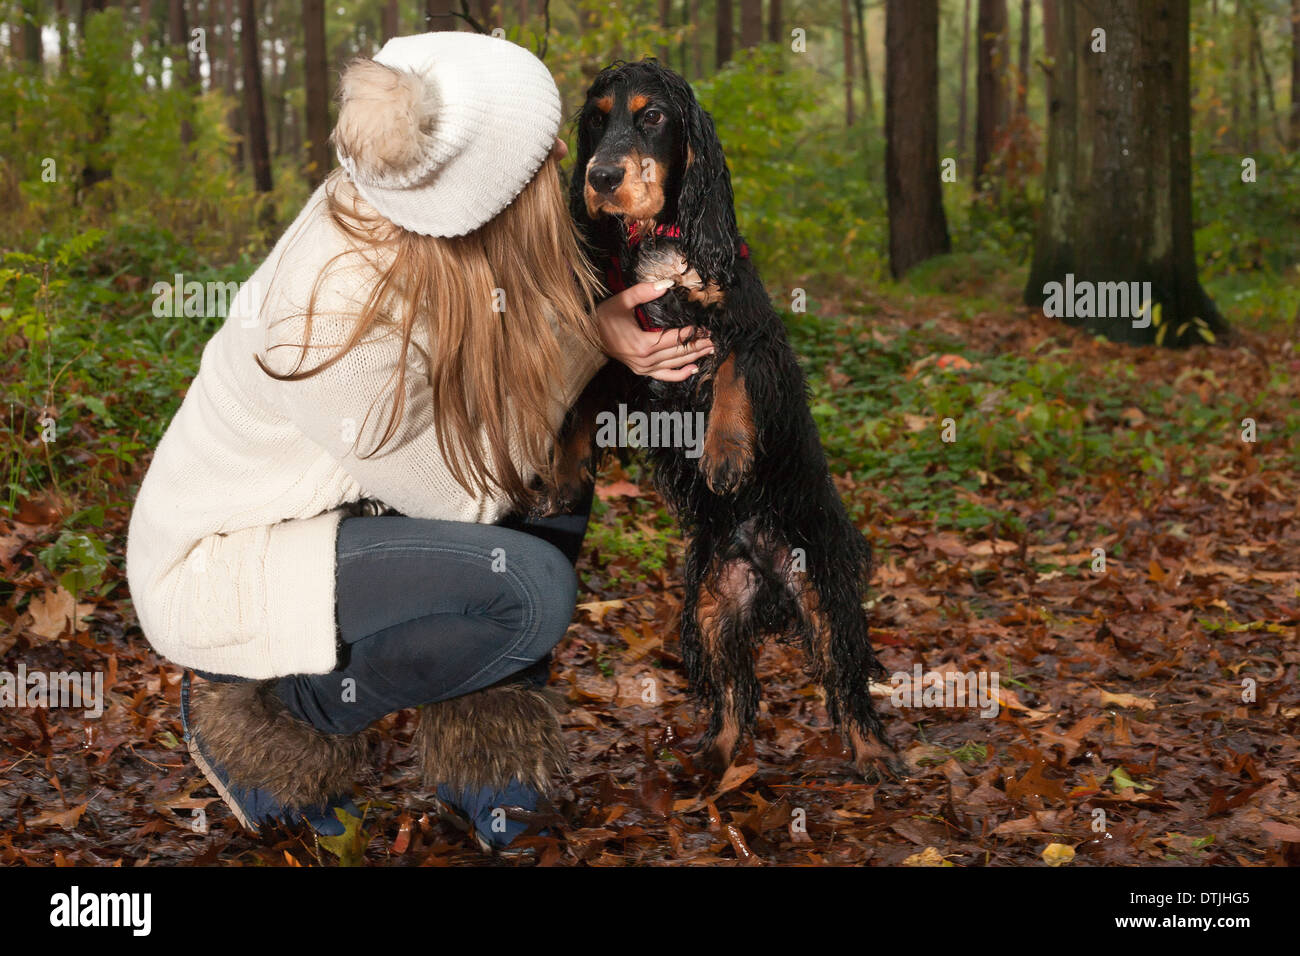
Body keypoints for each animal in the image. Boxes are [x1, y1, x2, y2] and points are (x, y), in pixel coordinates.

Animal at [540, 57, 894, 780]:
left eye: (651, 117)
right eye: (596, 121)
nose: (601, 178)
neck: (661, 247)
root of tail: (765, 571)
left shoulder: (754, 334)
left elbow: (733, 369)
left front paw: (726, 455)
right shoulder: (626, 350)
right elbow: (581, 400)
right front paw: (565, 470)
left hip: (824, 588)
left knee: (846, 679)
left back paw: (871, 752)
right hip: (708, 604)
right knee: (736, 692)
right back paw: (715, 760)